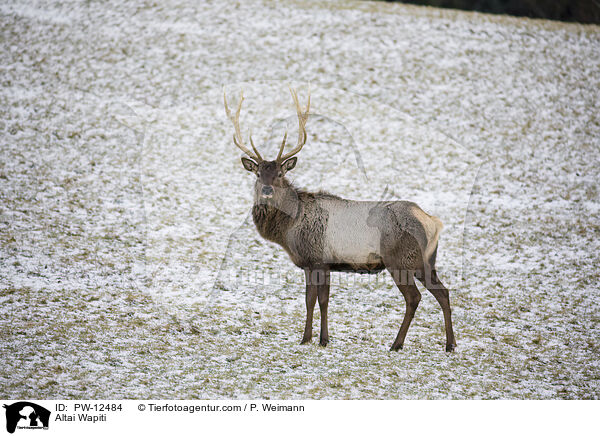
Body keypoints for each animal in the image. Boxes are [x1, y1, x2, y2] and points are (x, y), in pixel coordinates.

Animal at [224, 88, 454, 350]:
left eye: (280, 173)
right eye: (258, 173)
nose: (266, 190)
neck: (290, 228)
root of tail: (432, 222)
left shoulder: (319, 260)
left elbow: (321, 301)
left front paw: (321, 340)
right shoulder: (311, 263)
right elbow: (310, 300)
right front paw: (308, 338)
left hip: (401, 260)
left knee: (415, 297)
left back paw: (397, 344)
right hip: (426, 262)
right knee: (444, 292)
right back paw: (450, 345)